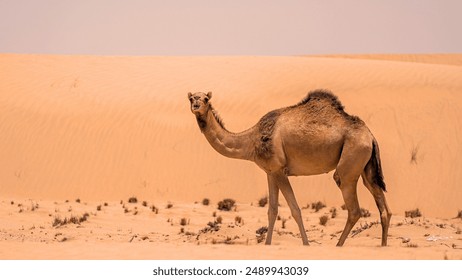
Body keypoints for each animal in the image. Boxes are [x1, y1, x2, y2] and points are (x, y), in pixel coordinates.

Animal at [188, 90, 390, 247]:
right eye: (191, 98)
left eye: (206, 99)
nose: (196, 105)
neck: (250, 140)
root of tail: (370, 136)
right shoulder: (269, 172)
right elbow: (272, 211)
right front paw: (268, 244)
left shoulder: (279, 170)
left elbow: (295, 210)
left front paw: (306, 244)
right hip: (366, 167)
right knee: (381, 203)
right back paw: (382, 246)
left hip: (350, 162)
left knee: (353, 207)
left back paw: (338, 245)